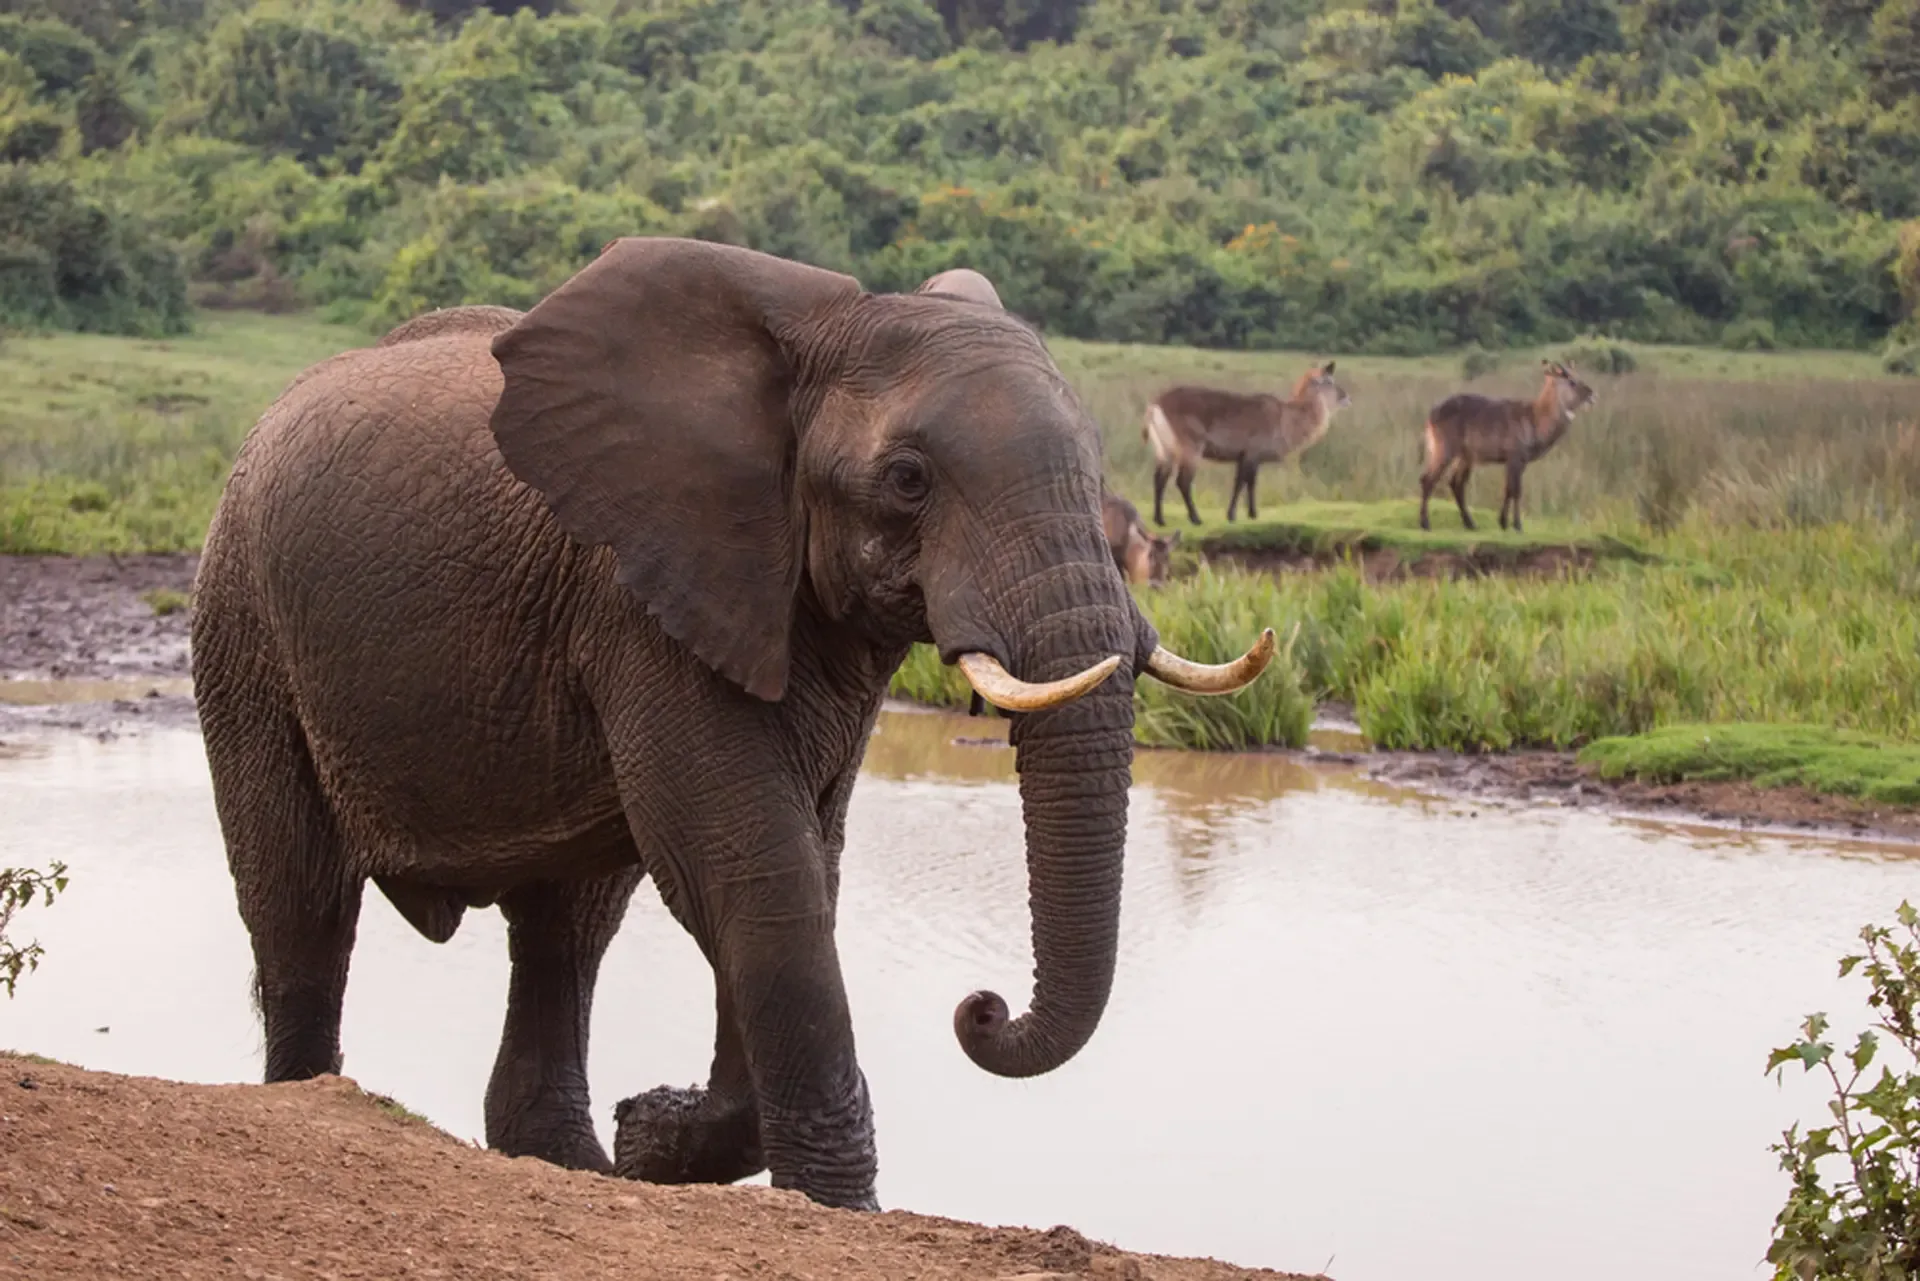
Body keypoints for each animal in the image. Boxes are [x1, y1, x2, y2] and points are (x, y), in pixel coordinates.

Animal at [189, 237, 1276, 1211]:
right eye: (909, 479)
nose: (981, 1006)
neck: (811, 344)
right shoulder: (641, 592)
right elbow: (752, 861)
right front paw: (820, 1200)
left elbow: (801, 861)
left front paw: (654, 1135)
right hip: (242, 622)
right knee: (301, 897)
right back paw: (318, 1096)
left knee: (565, 928)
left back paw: (576, 1163)